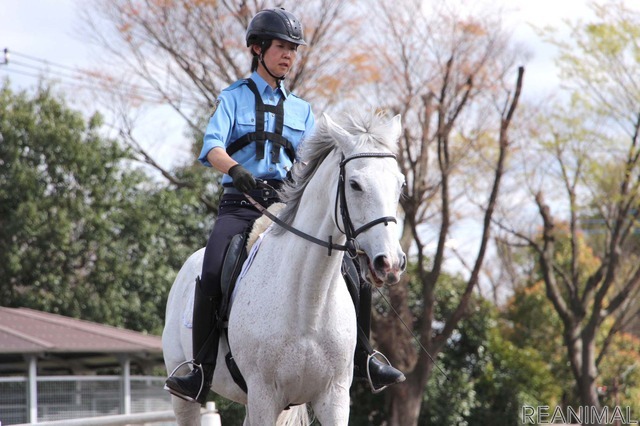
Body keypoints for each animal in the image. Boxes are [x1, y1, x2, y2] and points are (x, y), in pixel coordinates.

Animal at [162, 111, 408, 424]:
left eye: (400, 184)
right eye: (355, 184)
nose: (390, 263)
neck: (308, 303)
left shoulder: (334, 397)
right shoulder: (264, 396)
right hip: (186, 396)